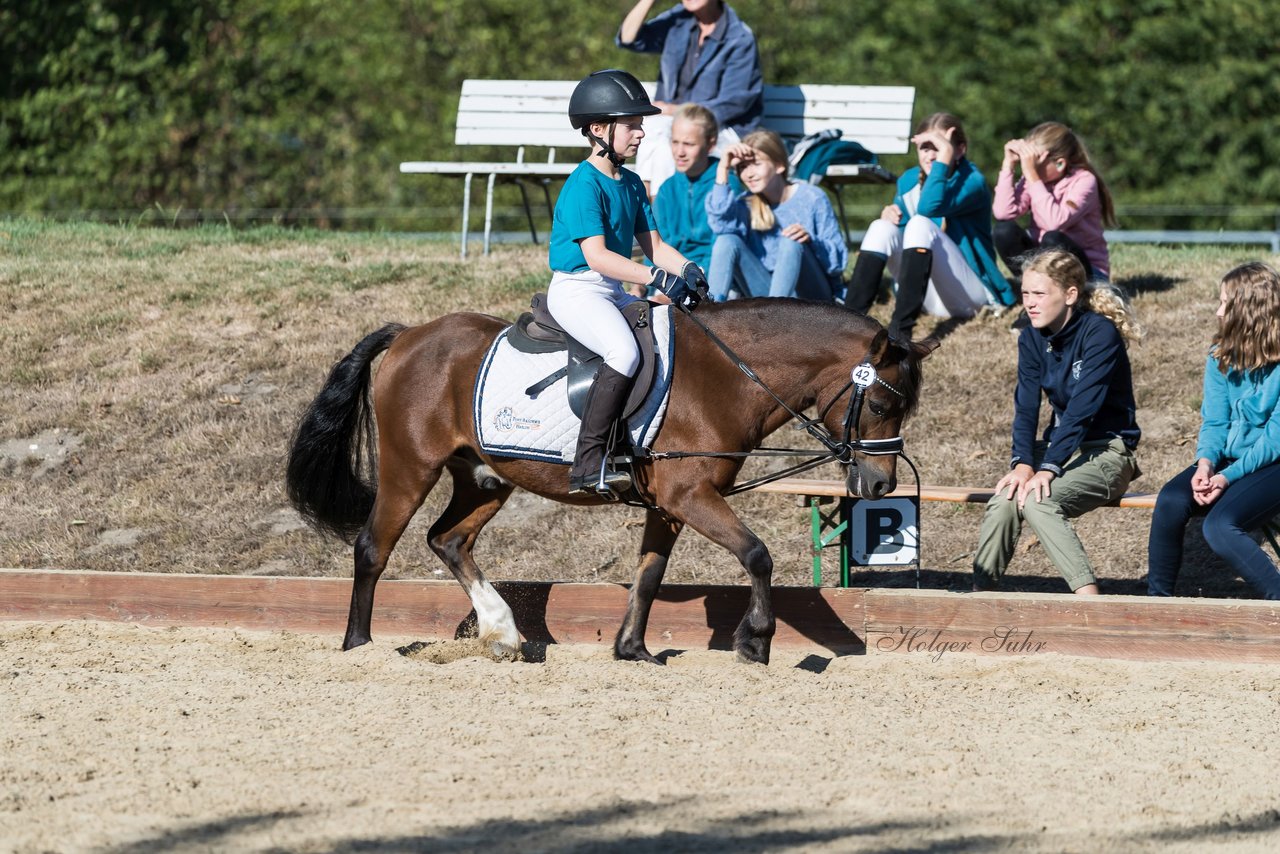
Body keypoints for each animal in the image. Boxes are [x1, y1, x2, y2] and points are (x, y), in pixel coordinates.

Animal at [285, 302, 936, 665]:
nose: (881, 486)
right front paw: (755, 640)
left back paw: (502, 632)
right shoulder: (689, 496)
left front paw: (632, 650)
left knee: (448, 540)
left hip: (484, 478)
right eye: (881, 404)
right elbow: (757, 555)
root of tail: (409, 335)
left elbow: (649, 575)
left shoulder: (669, 505)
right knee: (374, 548)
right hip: (409, 468)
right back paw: (359, 647)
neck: (725, 375)